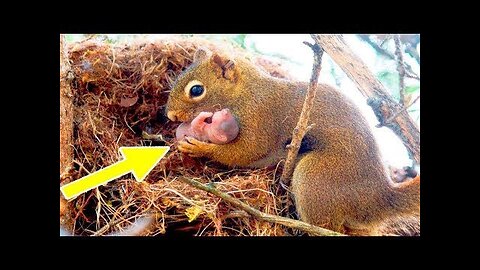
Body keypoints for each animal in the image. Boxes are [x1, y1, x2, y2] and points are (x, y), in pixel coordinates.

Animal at [166, 46, 420, 234]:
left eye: (196, 90)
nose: (170, 116)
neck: (245, 92)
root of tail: (379, 197)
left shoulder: (261, 117)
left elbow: (246, 151)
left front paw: (199, 147)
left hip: (315, 177)